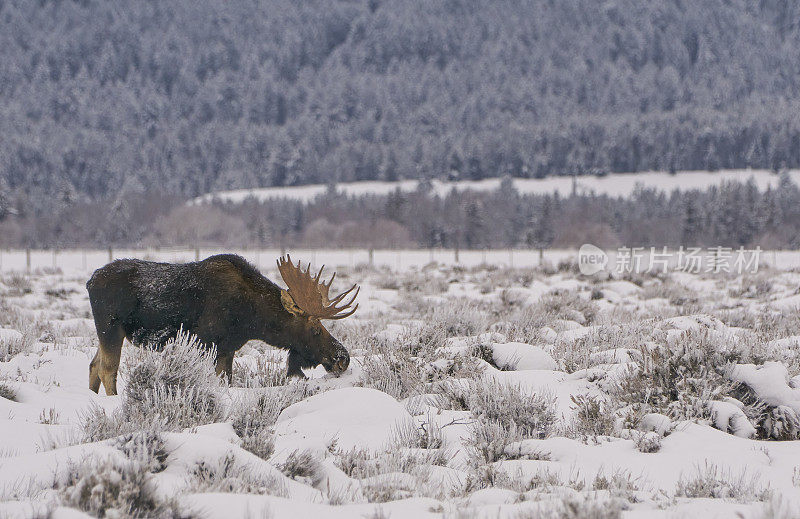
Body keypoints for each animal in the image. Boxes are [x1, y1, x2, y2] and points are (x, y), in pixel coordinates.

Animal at [86, 255, 358, 394]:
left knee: (93, 365)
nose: (343, 357)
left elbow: (225, 379)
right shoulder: (206, 341)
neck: (252, 318)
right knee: (107, 369)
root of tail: (90, 281)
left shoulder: (228, 347)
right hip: (110, 327)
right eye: (315, 329)